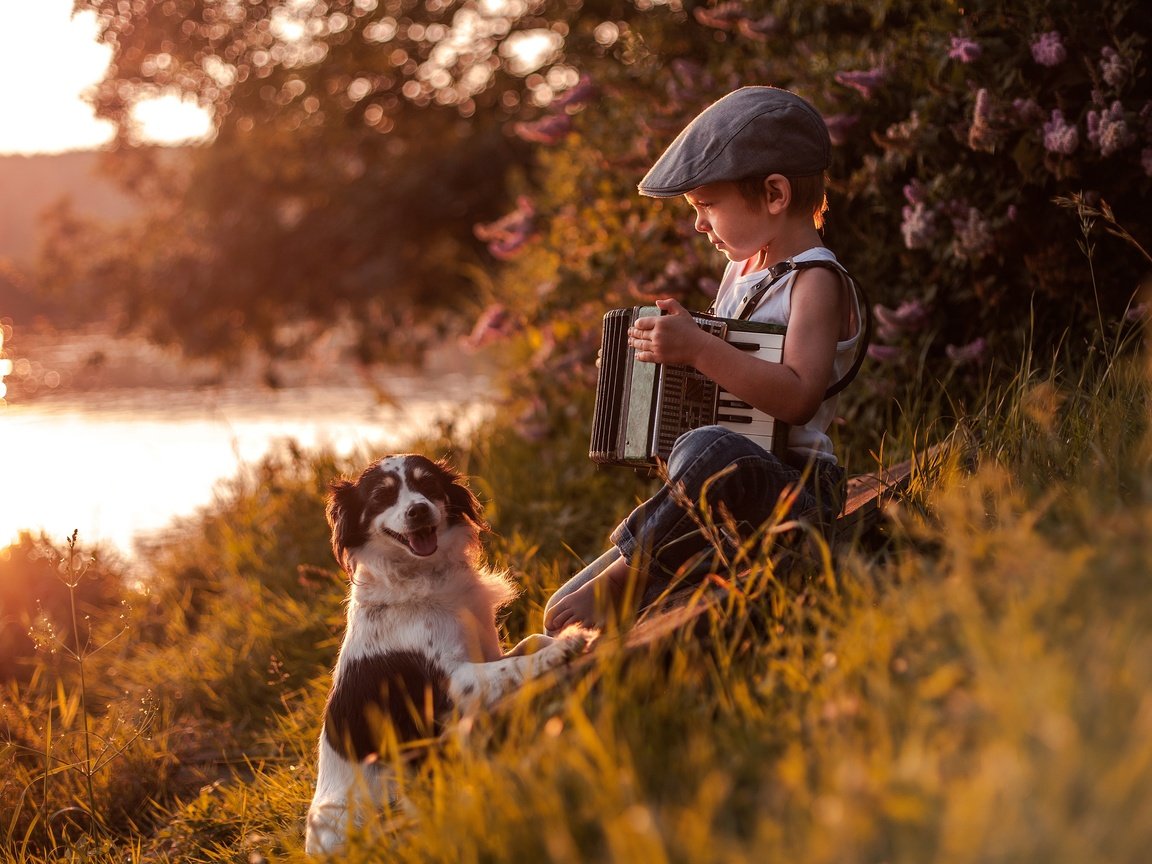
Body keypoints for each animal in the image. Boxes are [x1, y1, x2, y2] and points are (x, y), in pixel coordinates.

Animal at [304, 456, 589, 857]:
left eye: (428, 485)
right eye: (382, 497)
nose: (419, 510)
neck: (424, 576)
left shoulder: (485, 649)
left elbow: (530, 642)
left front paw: (561, 637)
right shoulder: (449, 682)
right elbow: (514, 665)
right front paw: (566, 646)